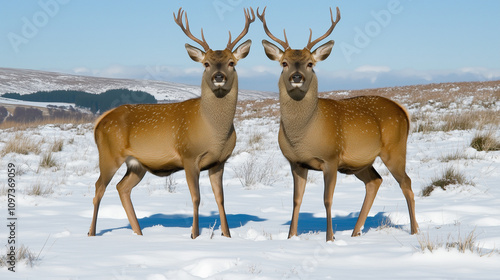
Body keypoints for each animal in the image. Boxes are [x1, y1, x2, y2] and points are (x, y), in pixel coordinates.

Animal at [87, 6, 254, 238]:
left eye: (232, 62)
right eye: (206, 63)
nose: (219, 77)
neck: (215, 132)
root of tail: (100, 121)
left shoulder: (219, 161)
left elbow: (221, 199)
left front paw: (227, 235)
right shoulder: (188, 155)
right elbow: (196, 197)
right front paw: (194, 235)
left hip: (137, 164)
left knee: (122, 187)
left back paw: (139, 233)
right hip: (109, 154)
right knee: (98, 188)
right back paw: (92, 233)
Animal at [258, 7, 418, 242]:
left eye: (310, 63)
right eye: (284, 63)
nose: (297, 77)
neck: (302, 136)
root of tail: (402, 110)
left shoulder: (331, 158)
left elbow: (327, 199)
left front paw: (330, 238)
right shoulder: (295, 162)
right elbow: (296, 200)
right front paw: (291, 237)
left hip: (395, 149)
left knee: (406, 183)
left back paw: (415, 230)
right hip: (361, 162)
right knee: (374, 181)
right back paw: (355, 232)